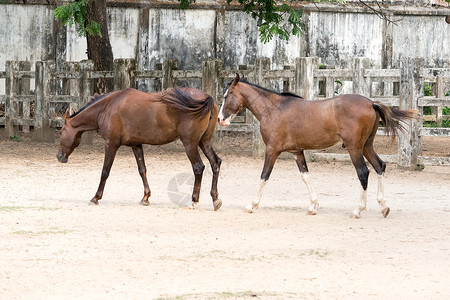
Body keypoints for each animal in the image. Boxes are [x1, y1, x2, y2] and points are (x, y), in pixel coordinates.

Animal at [58, 86, 223, 211]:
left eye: (61, 132)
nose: (59, 157)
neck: (107, 107)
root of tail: (207, 98)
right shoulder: (136, 145)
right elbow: (142, 170)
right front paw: (145, 197)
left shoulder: (111, 144)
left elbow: (105, 171)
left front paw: (96, 197)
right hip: (204, 142)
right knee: (215, 163)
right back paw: (215, 199)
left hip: (190, 144)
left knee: (198, 167)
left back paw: (194, 200)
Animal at [218, 72, 418, 218]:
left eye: (228, 95)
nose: (220, 119)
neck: (273, 109)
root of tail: (371, 103)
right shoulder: (297, 152)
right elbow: (305, 176)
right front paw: (313, 206)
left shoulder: (272, 150)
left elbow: (264, 176)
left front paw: (252, 205)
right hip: (367, 146)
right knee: (379, 166)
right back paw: (383, 207)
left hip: (354, 148)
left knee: (363, 173)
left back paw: (358, 210)